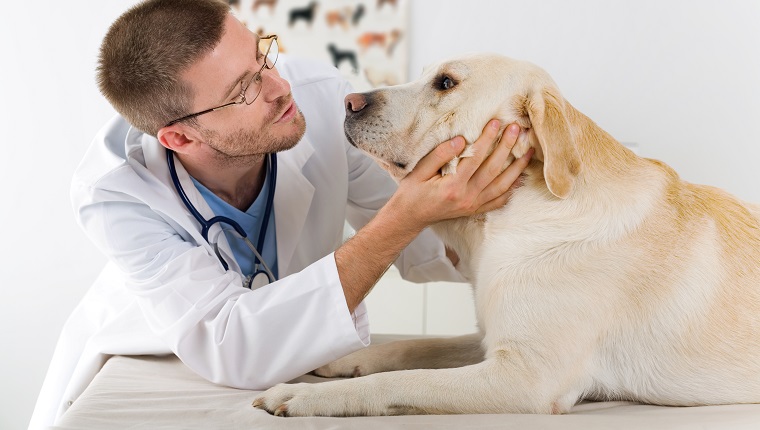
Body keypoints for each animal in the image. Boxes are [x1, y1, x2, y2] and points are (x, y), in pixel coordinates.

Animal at [254, 53, 760, 416]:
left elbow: (403, 380)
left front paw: (303, 396)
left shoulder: (524, 376)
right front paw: (340, 358)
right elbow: (412, 347)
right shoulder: (490, 338)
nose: (349, 101)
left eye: (445, 83)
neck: (510, 214)